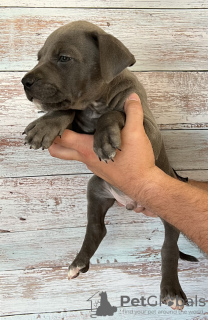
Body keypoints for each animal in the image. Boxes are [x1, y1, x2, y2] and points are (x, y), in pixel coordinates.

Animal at [22, 20, 197, 310]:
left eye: (64, 58)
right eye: (39, 58)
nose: (25, 81)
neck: (96, 103)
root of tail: (131, 202)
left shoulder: (148, 130)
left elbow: (115, 113)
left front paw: (105, 138)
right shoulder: (80, 125)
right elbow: (68, 110)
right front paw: (46, 123)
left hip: (171, 213)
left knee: (168, 248)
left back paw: (172, 290)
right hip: (95, 187)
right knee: (97, 228)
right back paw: (78, 263)